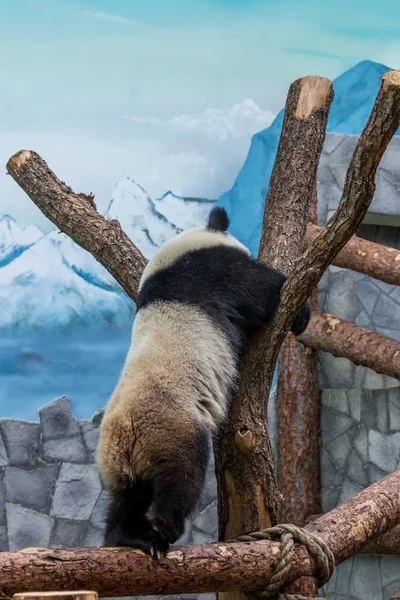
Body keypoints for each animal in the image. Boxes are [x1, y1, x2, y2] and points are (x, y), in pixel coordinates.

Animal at [96, 207, 310, 556]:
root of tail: (125, 434)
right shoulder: (214, 271)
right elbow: (262, 290)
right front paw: (301, 315)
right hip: (171, 427)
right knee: (181, 477)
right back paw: (165, 526)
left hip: (119, 465)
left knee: (126, 500)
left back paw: (134, 537)